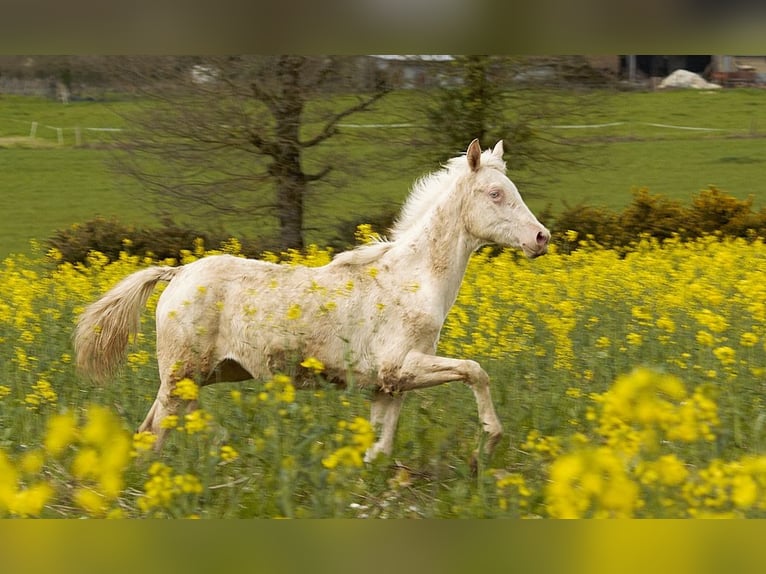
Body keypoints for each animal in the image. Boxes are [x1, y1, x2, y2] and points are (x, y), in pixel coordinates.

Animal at [75, 141, 548, 468]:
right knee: (155, 431)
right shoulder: (401, 365)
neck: (413, 281)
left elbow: (379, 446)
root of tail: (177, 275)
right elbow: (475, 371)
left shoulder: (388, 385)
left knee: (154, 428)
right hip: (182, 376)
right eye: (495, 194)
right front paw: (487, 444)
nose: (541, 238)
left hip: (198, 378)